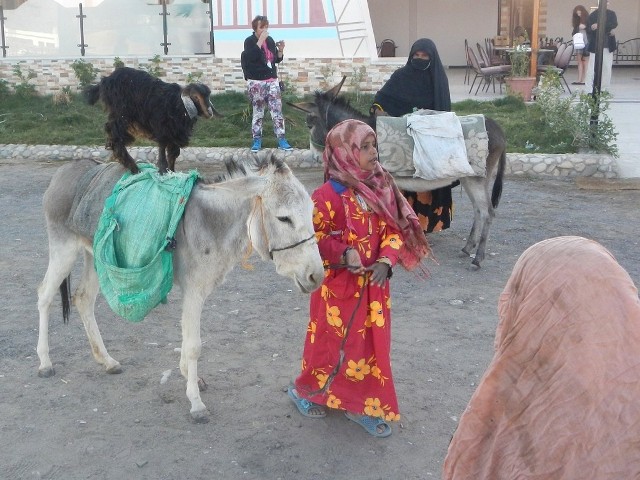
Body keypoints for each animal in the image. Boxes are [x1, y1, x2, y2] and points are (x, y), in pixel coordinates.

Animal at [85, 66, 221, 173]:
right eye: (195, 97)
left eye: (208, 96)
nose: (209, 112)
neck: (179, 105)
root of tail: (105, 80)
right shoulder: (162, 129)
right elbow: (162, 150)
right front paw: (163, 171)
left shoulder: (174, 134)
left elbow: (173, 154)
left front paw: (172, 172)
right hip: (121, 114)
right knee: (115, 135)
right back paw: (134, 168)